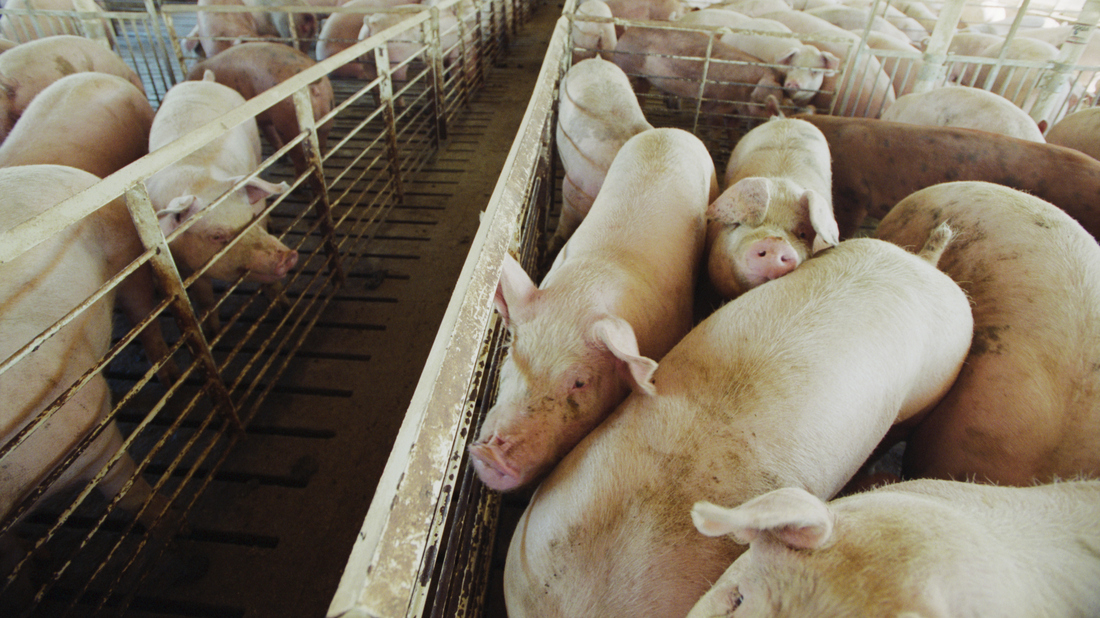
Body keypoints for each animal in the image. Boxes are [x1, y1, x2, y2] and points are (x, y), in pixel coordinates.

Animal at [145, 72, 298, 332]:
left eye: (251, 219)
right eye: (216, 236)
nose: (288, 256)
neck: (198, 182)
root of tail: (206, 81)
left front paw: (284, 308)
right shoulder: (182, 268)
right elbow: (204, 298)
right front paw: (212, 330)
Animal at [186, 42, 336, 176]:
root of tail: (315, 84)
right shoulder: (264, 118)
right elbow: (270, 134)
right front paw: (281, 158)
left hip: (290, 125)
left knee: (300, 160)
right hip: (326, 117)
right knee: (321, 148)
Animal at [610, 25, 790, 121]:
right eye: (764, 104)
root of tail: (628, 30)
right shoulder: (713, 104)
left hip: (646, 78)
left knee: (641, 93)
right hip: (624, 63)